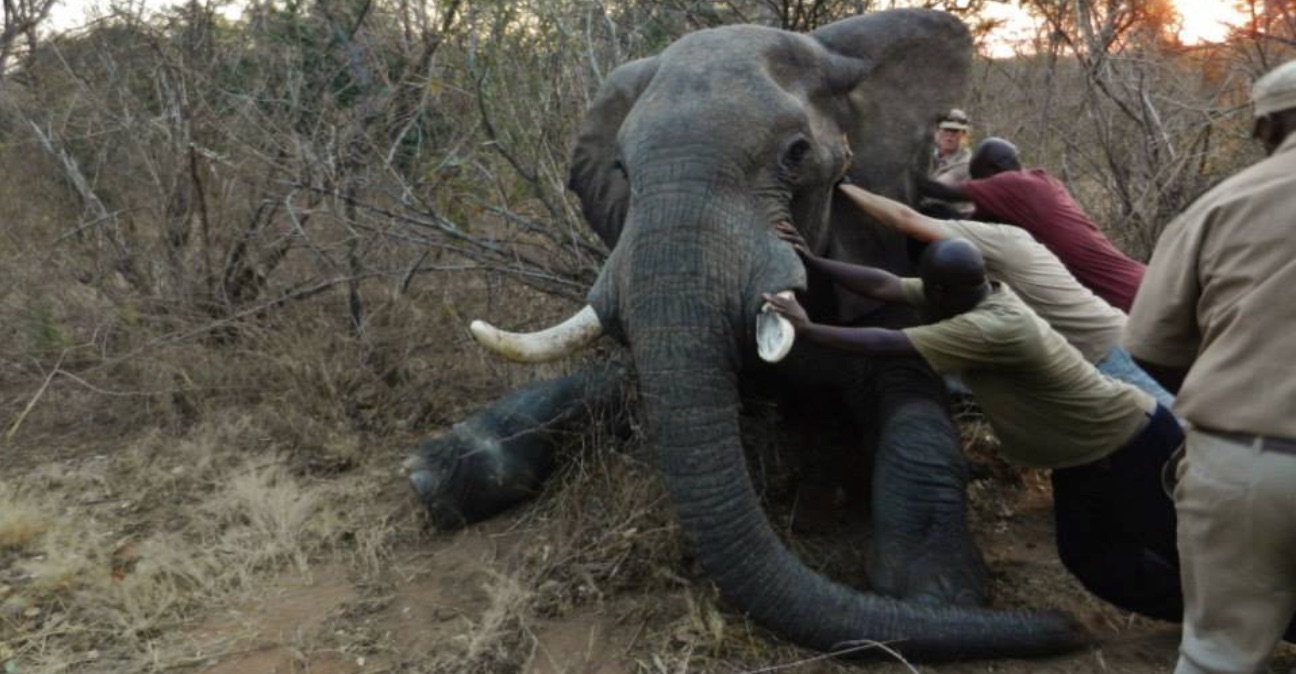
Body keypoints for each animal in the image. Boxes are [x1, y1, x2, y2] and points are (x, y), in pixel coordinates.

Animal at [406, 7, 1093, 661]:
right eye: (622, 169)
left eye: (796, 154)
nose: (1069, 625)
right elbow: (619, 384)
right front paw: (433, 477)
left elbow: (916, 416)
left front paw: (937, 596)